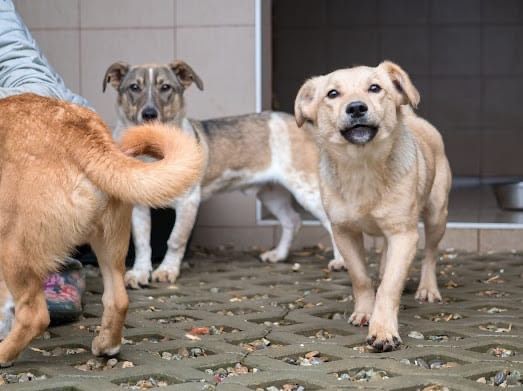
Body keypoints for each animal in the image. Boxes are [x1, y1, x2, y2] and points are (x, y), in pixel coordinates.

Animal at [0, 93, 203, 366]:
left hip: (12, 249)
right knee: (118, 299)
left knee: (34, 315)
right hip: (111, 246)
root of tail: (84, 133)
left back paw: (4, 354)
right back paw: (107, 345)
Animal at [104, 60, 346, 288]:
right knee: (292, 220)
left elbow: (175, 239)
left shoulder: (188, 202)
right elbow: (142, 243)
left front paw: (166, 270)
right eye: (134, 87)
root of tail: (299, 122)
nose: (149, 114)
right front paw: (139, 273)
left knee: (329, 222)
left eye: (166, 87)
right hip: (271, 193)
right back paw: (278, 255)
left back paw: (340, 261)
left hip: (306, 188)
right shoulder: (137, 204)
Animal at [296, 60, 452, 352]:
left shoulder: (404, 235)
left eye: (375, 88)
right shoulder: (344, 232)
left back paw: (427, 288)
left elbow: (390, 286)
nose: (357, 107)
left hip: (437, 215)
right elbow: (360, 277)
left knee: (430, 254)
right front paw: (364, 312)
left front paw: (383, 331)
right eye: (332, 94)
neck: (363, 167)